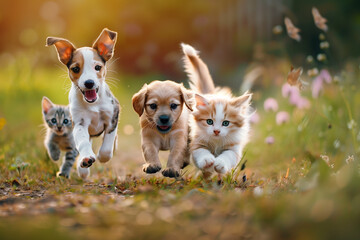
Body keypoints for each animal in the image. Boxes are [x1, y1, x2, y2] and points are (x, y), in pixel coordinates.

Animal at [181, 44, 252, 177]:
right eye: (209, 121)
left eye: (226, 123)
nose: (216, 131)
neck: (216, 142)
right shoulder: (196, 143)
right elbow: (201, 152)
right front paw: (207, 161)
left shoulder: (234, 148)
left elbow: (228, 155)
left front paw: (220, 164)